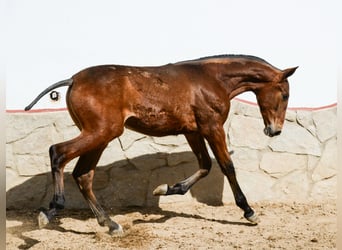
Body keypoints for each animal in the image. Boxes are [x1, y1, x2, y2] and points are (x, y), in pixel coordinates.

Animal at [24, 54, 296, 234]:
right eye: (284, 95)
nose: (275, 130)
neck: (211, 79)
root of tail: (72, 80)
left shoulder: (193, 131)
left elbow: (205, 165)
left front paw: (166, 189)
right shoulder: (212, 127)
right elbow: (226, 166)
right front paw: (249, 212)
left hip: (100, 136)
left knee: (83, 175)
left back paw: (110, 224)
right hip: (100, 132)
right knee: (58, 153)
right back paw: (50, 211)